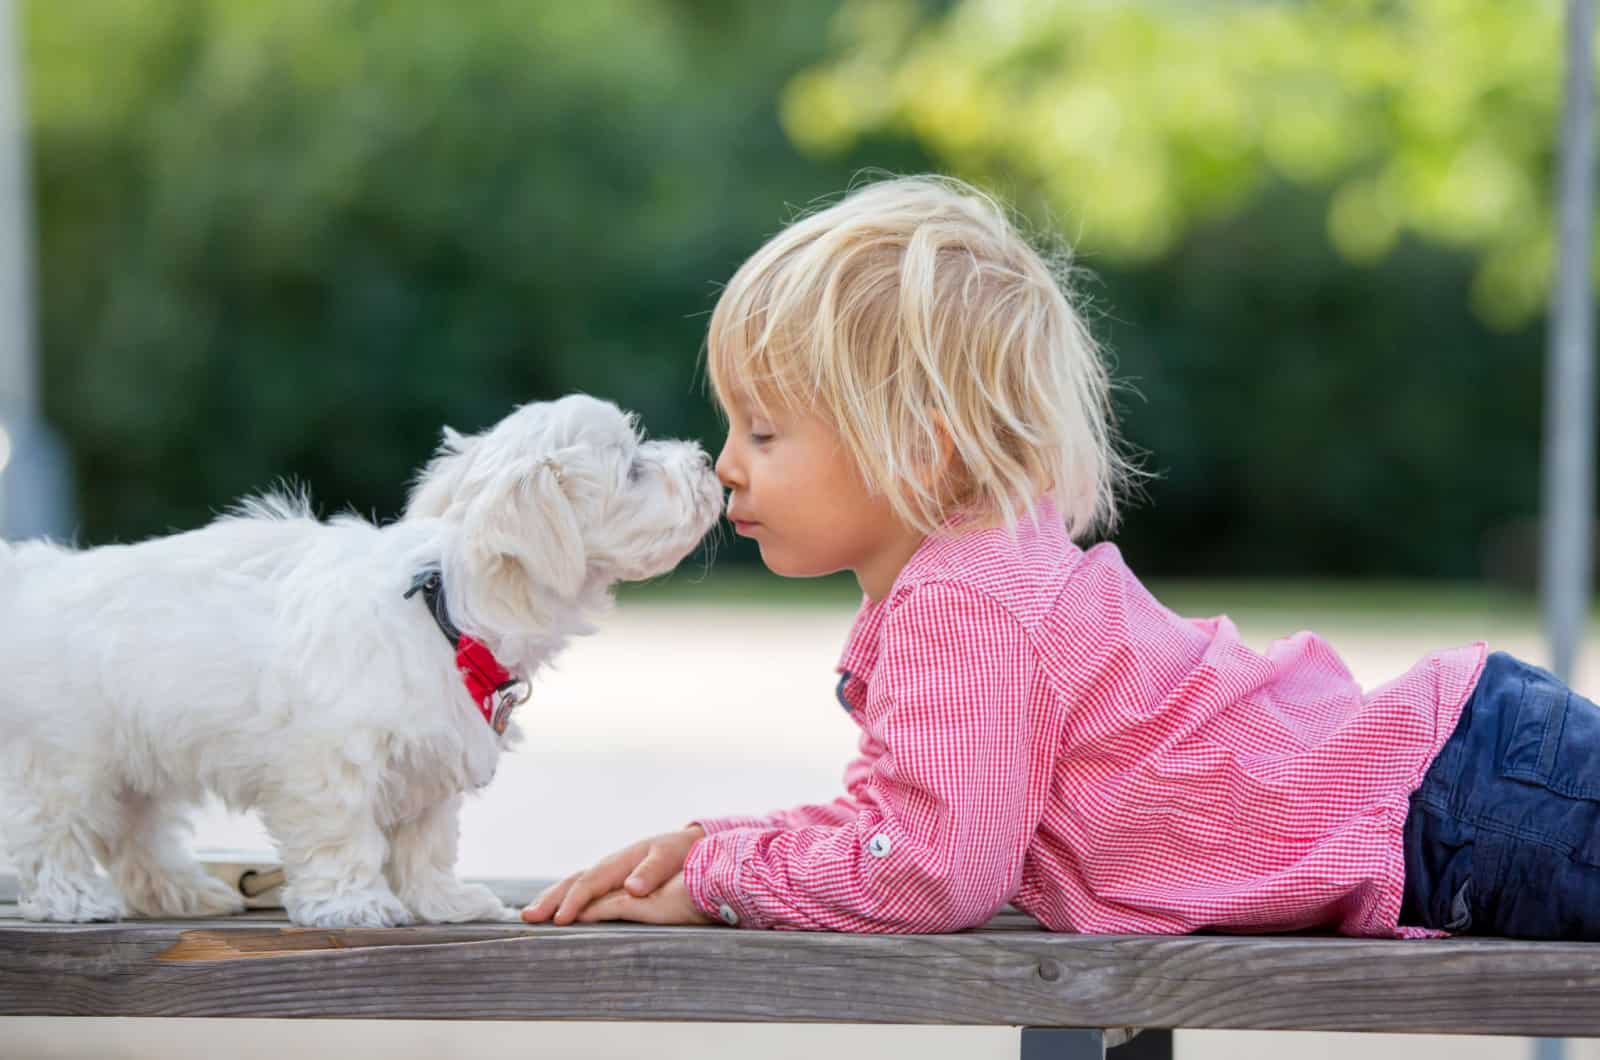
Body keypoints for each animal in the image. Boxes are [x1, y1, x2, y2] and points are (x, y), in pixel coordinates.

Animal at [0, 393, 720, 928]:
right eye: (633, 470)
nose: (707, 461)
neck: (447, 608)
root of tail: (37, 579)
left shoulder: (432, 761)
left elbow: (428, 839)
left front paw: (442, 901)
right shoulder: (328, 764)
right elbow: (343, 834)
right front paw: (354, 903)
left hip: (139, 756)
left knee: (137, 830)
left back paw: (180, 891)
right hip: (68, 757)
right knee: (55, 829)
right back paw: (71, 898)